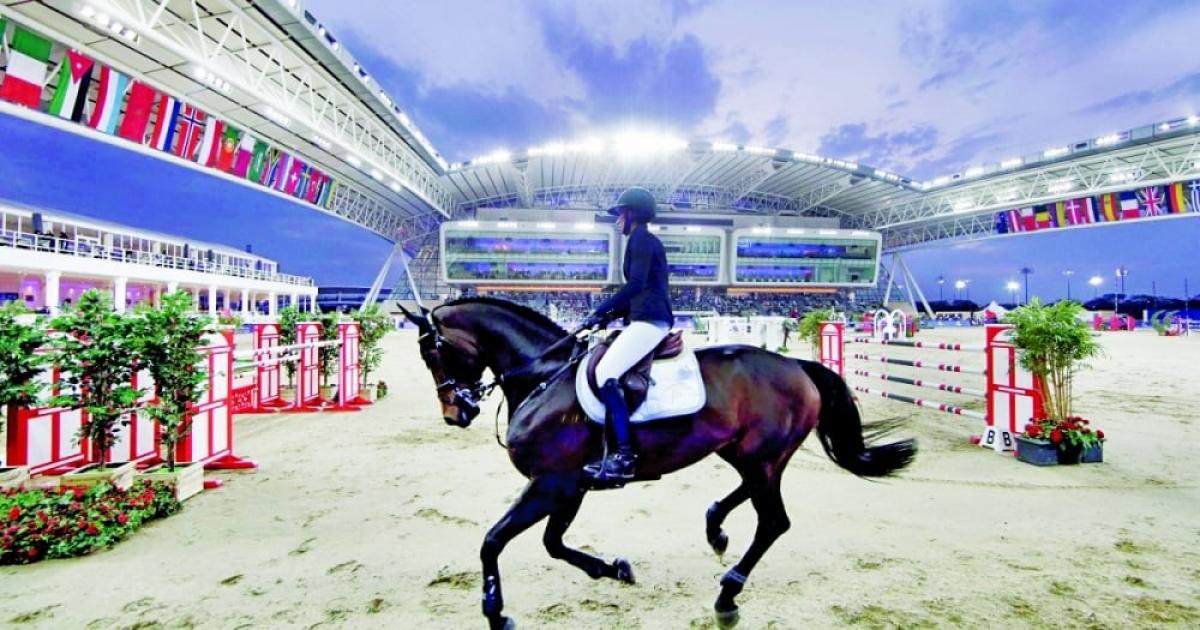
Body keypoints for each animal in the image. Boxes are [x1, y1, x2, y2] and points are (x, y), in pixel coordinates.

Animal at [399, 297, 915, 629]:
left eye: (431, 351)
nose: (456, 414)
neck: (545, 377)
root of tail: (797, 366)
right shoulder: (569, 486)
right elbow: (552, 543)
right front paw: (614, 569)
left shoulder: (552, 483)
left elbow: (493, 541)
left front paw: (495, 611)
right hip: (747, 453)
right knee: (748, 496)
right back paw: (715, 528)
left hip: (761, 456)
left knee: (773, 522)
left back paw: (727, 594)